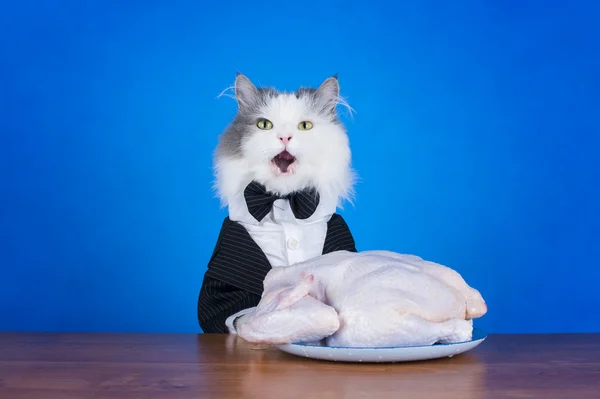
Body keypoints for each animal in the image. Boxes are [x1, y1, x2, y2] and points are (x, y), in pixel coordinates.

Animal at [197, 74, 358, 334]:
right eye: (264, 125)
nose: (284, 137)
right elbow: (232, 313)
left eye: (305, 126)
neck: (284, 200)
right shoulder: (222, 273)